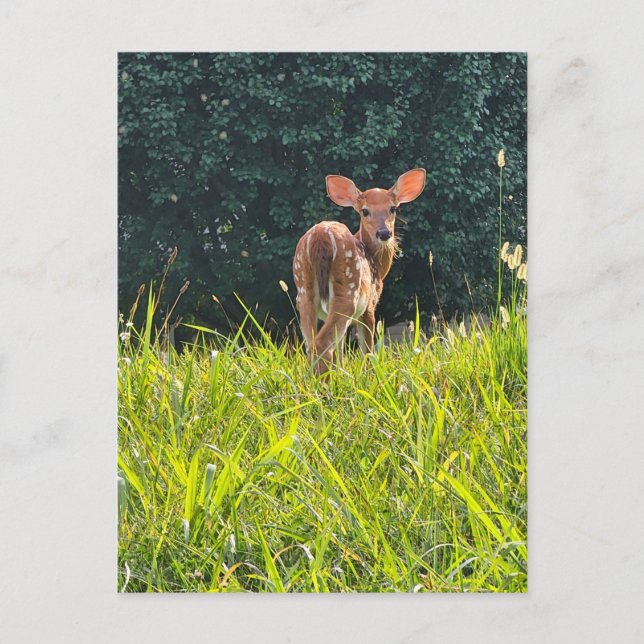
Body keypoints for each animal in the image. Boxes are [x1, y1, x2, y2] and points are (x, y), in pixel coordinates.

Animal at [292, 168, 426, 375]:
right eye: (365, 211)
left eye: (393, 209)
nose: (384, 233)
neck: (377, 265)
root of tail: (320, 237)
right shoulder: (370, 306)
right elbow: (368, 350)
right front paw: (370, 375)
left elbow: (340, 349)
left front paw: (342, 373)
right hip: (348, 291)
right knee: (321, 344)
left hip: (304, 291)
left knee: (312, 345)